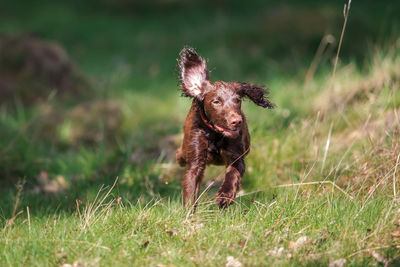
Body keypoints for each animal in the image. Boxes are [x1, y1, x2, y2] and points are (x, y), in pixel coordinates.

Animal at [176, 47, 276, 208]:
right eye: (216, 102)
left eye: (237, 100)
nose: (237, 121)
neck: (215, 135)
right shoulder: (195, 162)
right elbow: (191, 190)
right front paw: (189, 212)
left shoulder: (237, 157)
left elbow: (232, 176)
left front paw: (224, 196)